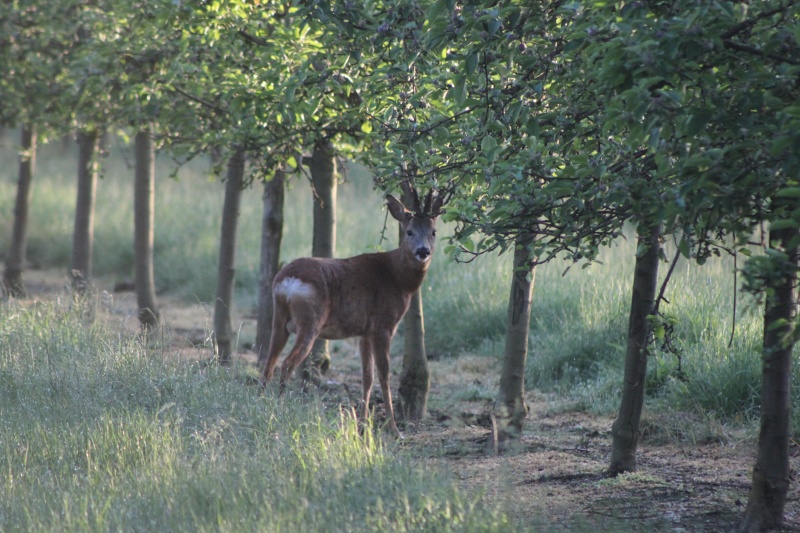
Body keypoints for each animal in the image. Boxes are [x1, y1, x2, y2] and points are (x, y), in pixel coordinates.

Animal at [260, 187, 444, 436]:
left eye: (434, 232)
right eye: (409, 232)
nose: (423, 251)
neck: (398, 278)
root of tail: (286, 280)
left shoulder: (364, 332)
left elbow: (367, 376)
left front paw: (364, 425)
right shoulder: (383, 326)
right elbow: (384, 375)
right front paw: (394, 429)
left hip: (279, 320)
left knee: (268, 364)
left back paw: (260, 405)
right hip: (310, 322)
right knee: (287, 363)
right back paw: (277, 409)